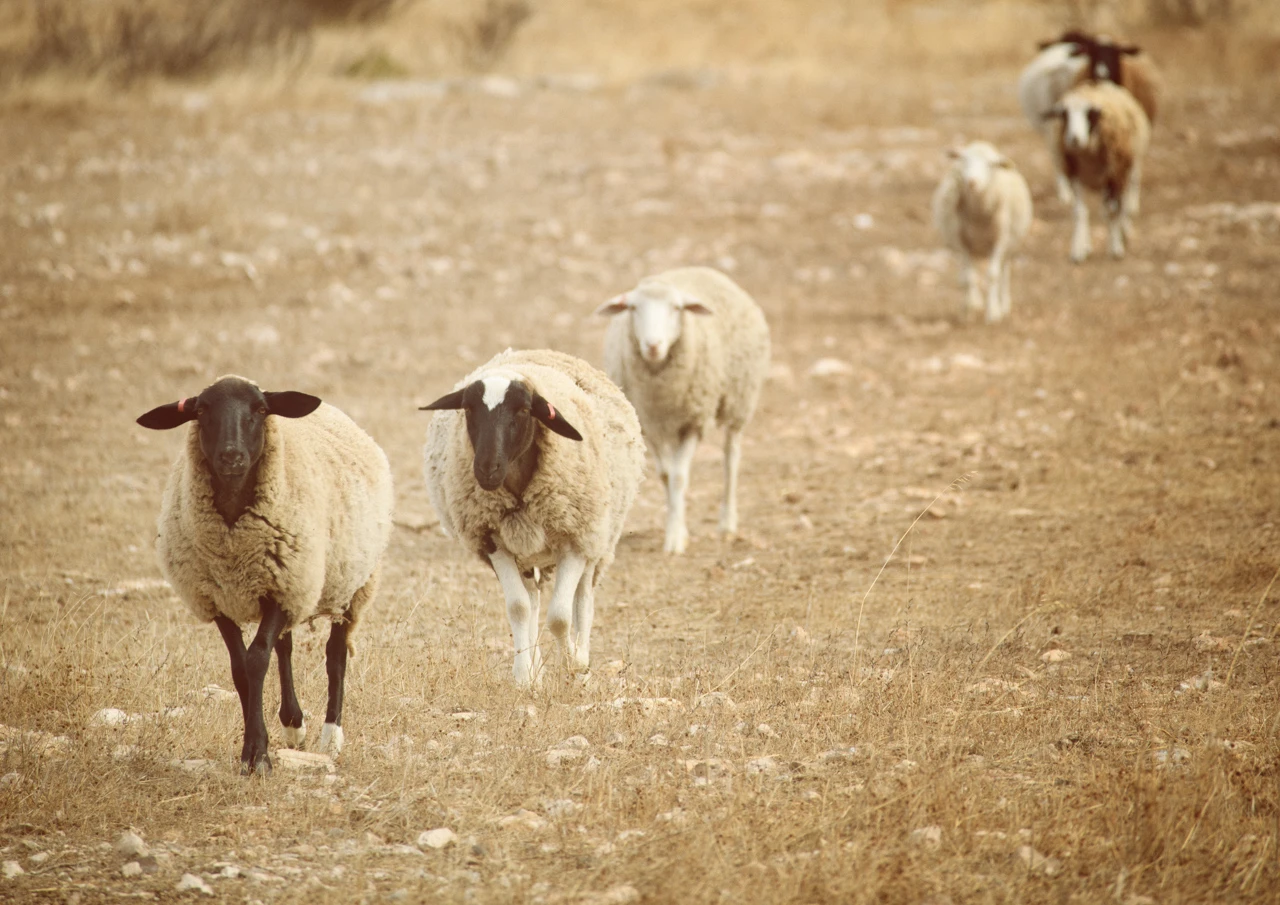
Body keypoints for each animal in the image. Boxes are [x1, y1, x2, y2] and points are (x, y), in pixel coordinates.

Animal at [137, 375, 393, 774]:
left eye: (259, 409)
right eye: (201, 410)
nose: (231, 456)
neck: (232, 540)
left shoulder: (282, 589)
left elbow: (258, 660)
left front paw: (258, 756)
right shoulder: (218, 598)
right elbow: (240, 668)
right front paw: (254, 748)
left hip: (352, 585)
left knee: (335, 653)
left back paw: (330, 734)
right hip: (293, 590)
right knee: (284, 646)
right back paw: (293, 724)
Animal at [420, 348, 644, 687]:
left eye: (525, 410)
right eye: (469, 408)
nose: (486, 469)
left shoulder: (575, 541)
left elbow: (561, 616)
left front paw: (572, 666)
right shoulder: (494, 542)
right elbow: (519, 608)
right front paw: (526, 677)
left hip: (597, 539)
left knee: (583, 597)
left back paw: (581, 657)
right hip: (526, 554)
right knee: (533, 599)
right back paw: (535, 665)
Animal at [595, 266, 770, 555]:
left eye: (676, 308)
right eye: (633, 307)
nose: (653, 345)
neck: (661, 393)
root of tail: (700, 268)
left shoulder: (694, 423)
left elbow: (678, 477)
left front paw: (675, 540)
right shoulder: (647, 424)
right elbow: (666, 476)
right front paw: (677, 528)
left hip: (740, 402)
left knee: (731, 458)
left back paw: (727, 522)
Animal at [931, 141, 1034, 325]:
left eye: (990, 164)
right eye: (964, 160)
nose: (972, 182)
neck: (978, 216)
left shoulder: (999, 241)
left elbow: (993, 275)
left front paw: (993, 313)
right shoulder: (963, 242)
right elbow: (968, 278)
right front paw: (968, 311)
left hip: (1009, 246)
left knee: (1003, 272)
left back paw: (1004, 305)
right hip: (971, 246)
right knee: (968, 274)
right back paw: (974, 301)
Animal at [1044, 80, 1151, 263]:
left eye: (1090, 114)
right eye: (1065, 114)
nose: (1074, 139)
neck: (1087, 155)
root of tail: (1102, 85)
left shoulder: (1114, 176)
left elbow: (1114, 211)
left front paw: (1115, 248)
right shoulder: (1076, 178)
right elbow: (1080, 213)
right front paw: (1078, 250)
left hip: (1128, 171)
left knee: (1123, 203)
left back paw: (1124, 231)